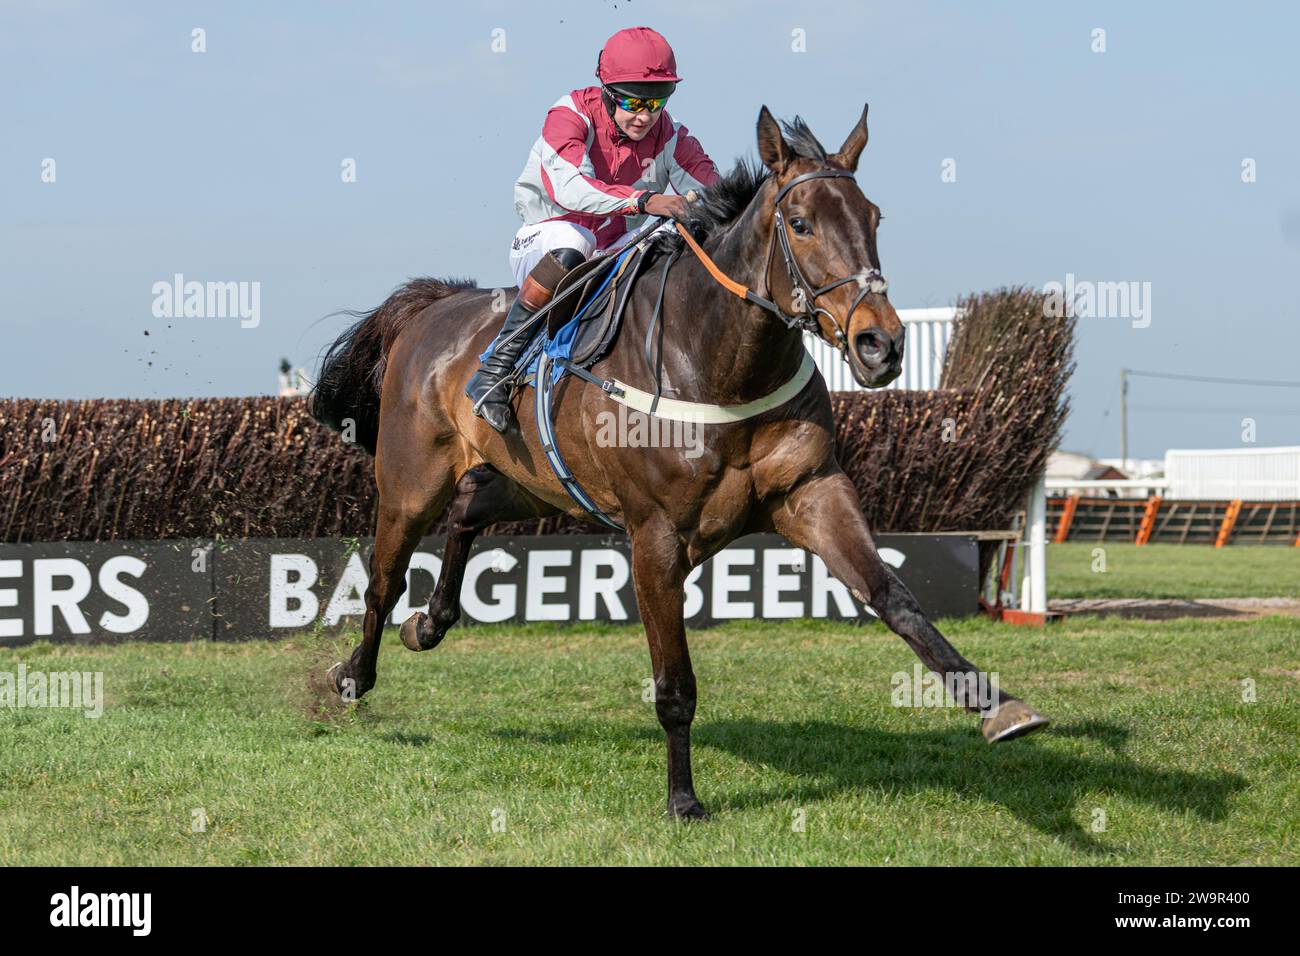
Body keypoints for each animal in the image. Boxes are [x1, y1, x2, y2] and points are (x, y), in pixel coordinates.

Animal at [309, 106, 1050, 822]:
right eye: (801, 224)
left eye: (873, 218)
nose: (881, 345)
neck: (720, 364)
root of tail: (434, 304)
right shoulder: (655, 537)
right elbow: (675, 686)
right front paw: (683, 799)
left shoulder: (812, 491)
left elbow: (895, 597)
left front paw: (998, 706)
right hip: (410, 484)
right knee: (382, 584)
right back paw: (352, 676)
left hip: (534, 483)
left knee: (468, 510)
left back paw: (429, 623)